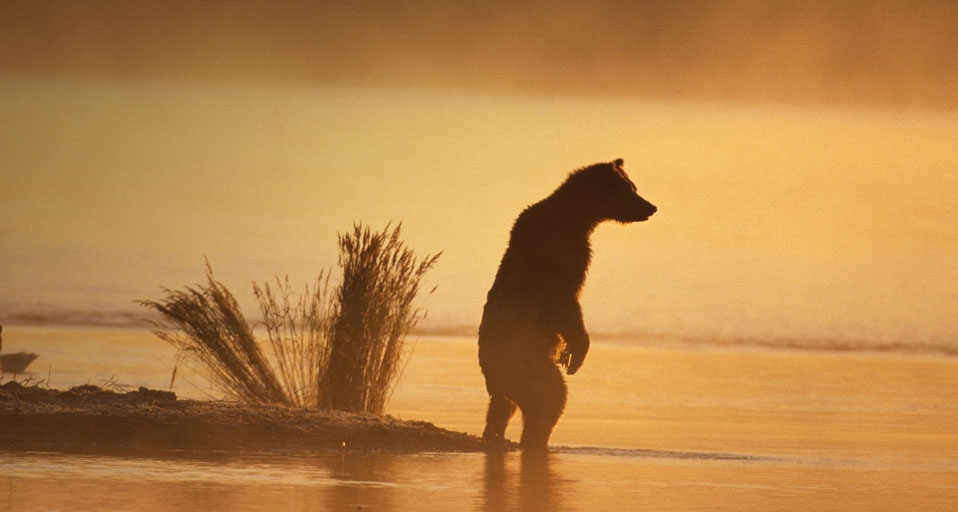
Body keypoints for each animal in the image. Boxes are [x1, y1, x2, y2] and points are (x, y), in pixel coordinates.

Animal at [478, 158, 657, 450]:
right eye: (629, 189)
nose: (651, 207)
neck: (575, 218)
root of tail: (491, 379)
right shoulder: (563, 255)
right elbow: (566, 303)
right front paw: (576, 352)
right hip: (526, 364)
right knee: (550, 398)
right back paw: (536, 440)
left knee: (502, 407)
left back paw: (496, 435)